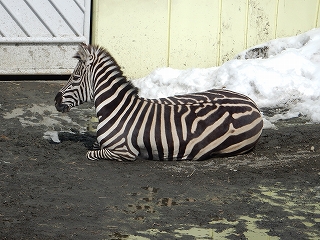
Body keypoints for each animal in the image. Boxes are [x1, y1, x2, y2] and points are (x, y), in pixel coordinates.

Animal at [54, 44, 262, 162]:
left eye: (75, 78)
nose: (55, 100)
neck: (117, 109)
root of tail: (252, 104)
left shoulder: (124, 151)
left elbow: (90, 153)